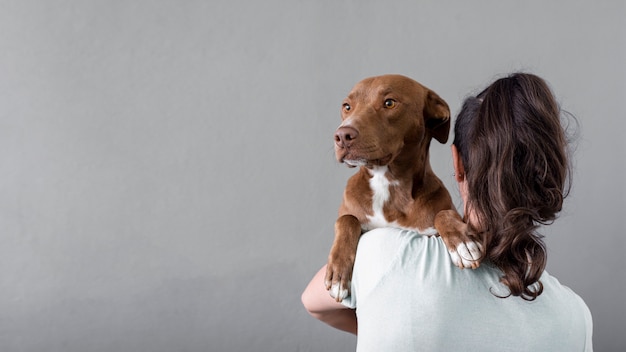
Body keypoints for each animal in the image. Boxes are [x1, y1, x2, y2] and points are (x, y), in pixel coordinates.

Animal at [324, 73, 480, 300]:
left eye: (389, 103)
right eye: (347, 106)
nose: (342, 135)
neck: (387, 185)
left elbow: (443, 214)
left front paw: (462, 244)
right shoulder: (352, 214)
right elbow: (346, 220)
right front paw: (337, 272)